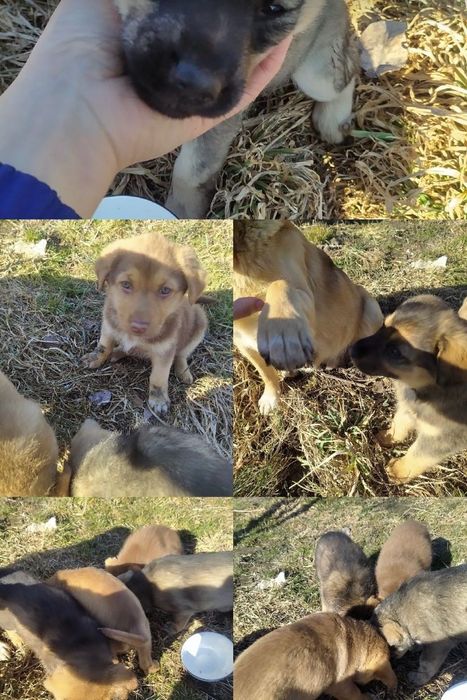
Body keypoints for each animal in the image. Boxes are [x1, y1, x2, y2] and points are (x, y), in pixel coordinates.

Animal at [82, 232, 208, 415]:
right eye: (126, 285)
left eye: (165, 290)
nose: (138, 327)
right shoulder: (108, 326)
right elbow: (103, 346)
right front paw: (96, 357)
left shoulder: (164, 352)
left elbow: (158, 378)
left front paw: (158, 400)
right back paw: (118, 352)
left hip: (200, 323)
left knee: (182, 355)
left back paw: (183, 372)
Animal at [113, 0, 359, 218]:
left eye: (273, 8)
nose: (193, 85)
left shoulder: (221, 120)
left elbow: (190, 172)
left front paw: (181, 211)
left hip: (314, 76)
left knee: (350, 69)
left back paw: (333, 121)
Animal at [233, 221, 383, 413]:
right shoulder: (242, 343)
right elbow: (265, 373)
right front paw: (271, 398)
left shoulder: (306, 298)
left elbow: (279, 285)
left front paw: (283, 335)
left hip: (371, 308)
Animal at [351, 294, 467, 483]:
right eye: (383, 325)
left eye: (395, 352)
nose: (351, 350)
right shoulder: (407, 407)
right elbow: (399, 423)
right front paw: (387, 437)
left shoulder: (441, 439)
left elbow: (417, 455)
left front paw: (398, 471)